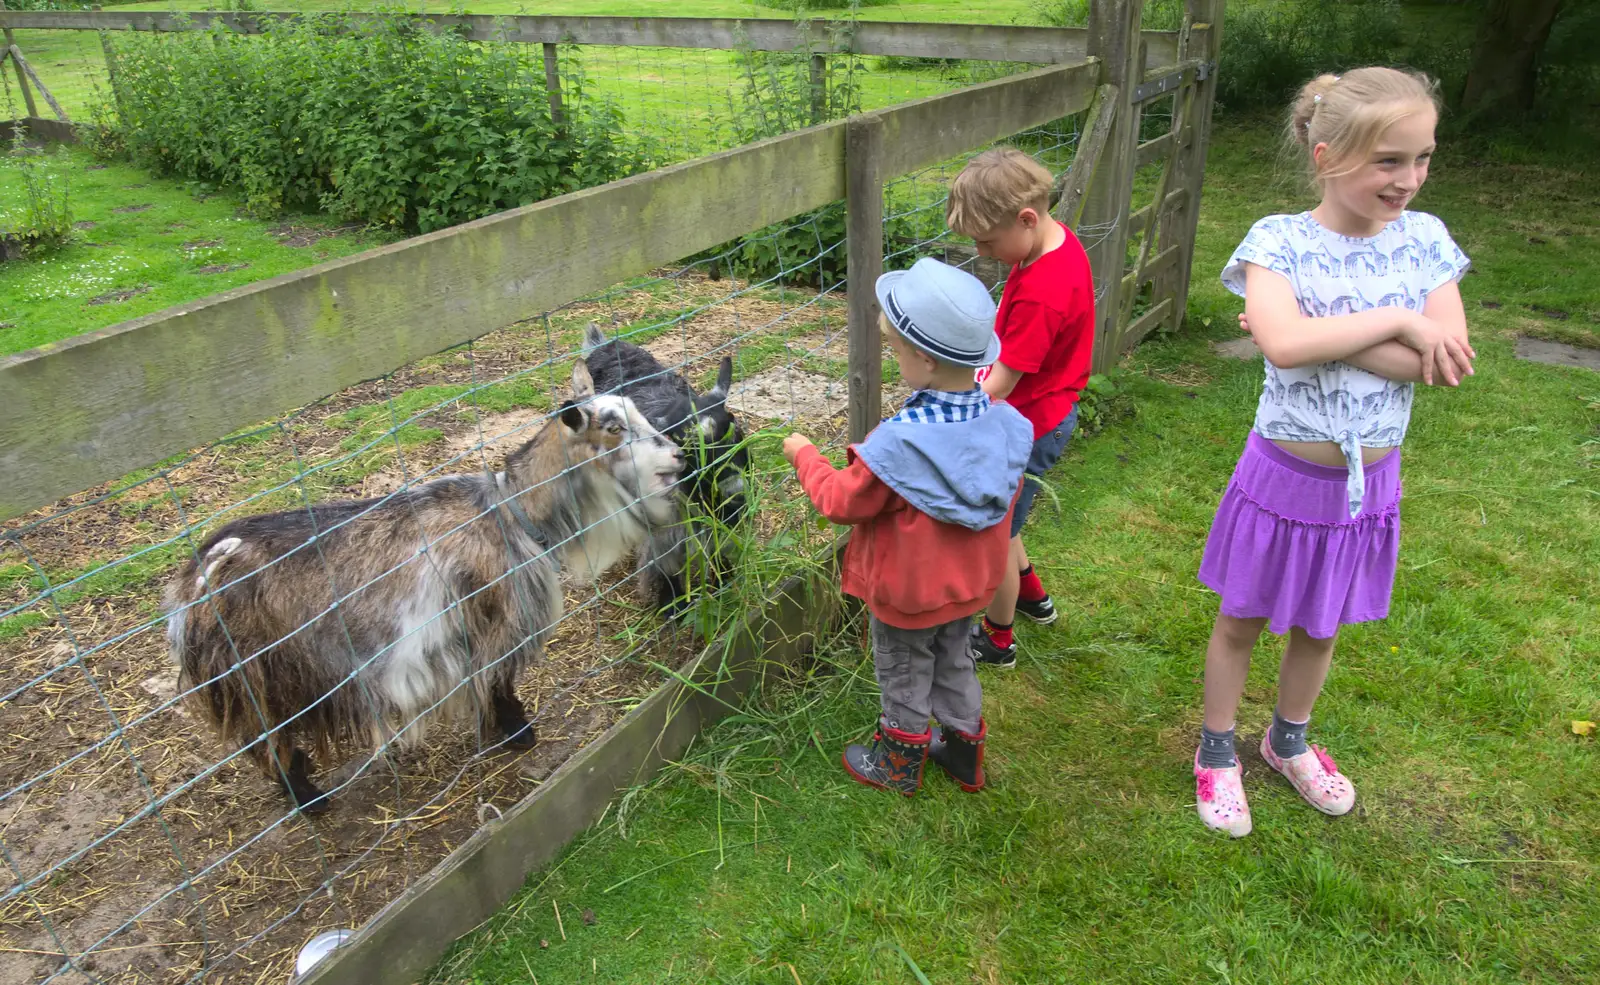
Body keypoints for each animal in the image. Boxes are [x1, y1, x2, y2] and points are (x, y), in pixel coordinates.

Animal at [162, 361, 681, 815]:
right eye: (613, 428)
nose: (678, 453)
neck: (511, 513)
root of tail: (197, 577)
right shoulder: (493, 619)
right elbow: (497, 679)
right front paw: (518, 731)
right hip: (251, 674)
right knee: (267, 737)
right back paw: (309, 799)